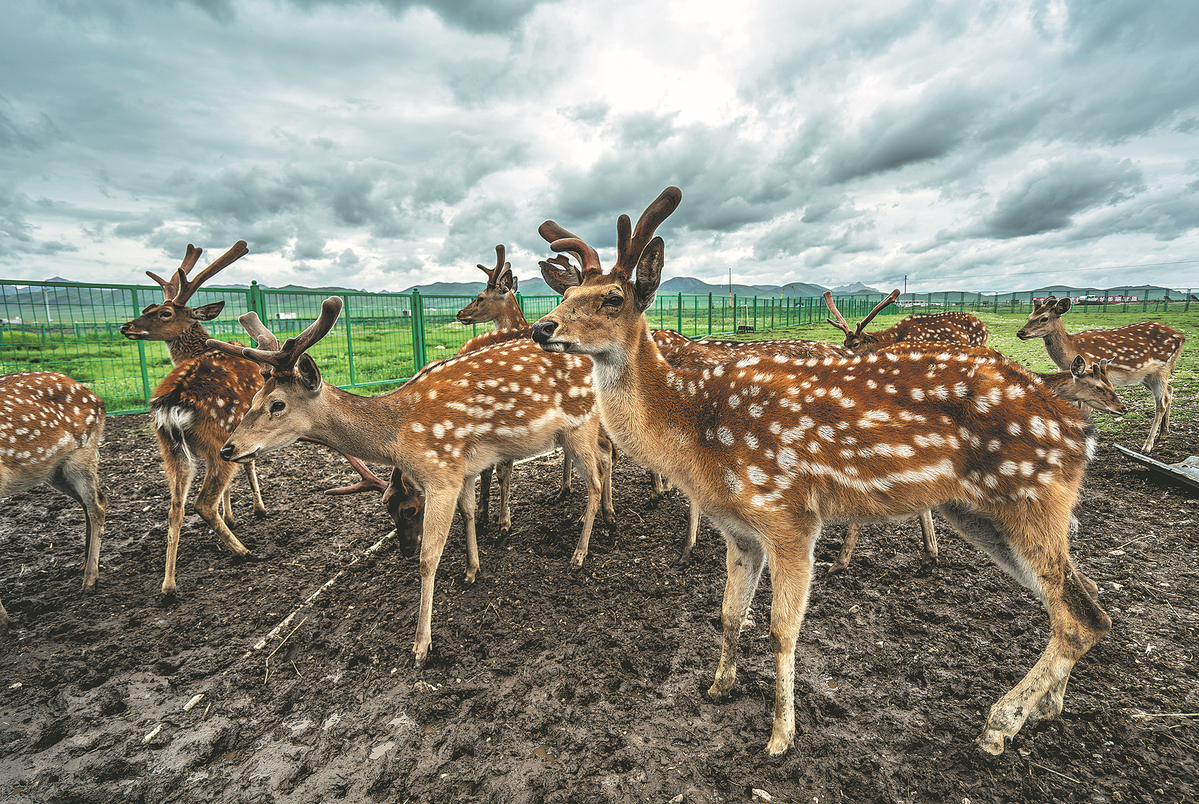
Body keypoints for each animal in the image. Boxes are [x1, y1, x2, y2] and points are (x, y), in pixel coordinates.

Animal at [0, 373, 106, 632]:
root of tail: (97, 398)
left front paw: (5, 621)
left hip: (82, 452)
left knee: (97, 505)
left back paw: (89, 580)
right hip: (53, 471)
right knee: (88, 503)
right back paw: (83, 564)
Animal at [117, 242, 267, 601]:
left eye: (163, 312)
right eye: (151, 307)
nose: (126, 326)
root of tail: (172, 405)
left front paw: (237, 514)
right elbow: (250, 465)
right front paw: (255, 510)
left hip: (170, 448)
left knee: (175, 506)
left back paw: (169, 586)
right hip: (215, 440)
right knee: (201, 503)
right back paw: (243, 551)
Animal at [206, 298, 613, 670]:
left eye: (277, 404)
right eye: (253, 397)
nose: (228, 448)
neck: (399, 436)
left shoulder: (440, 473)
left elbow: (429, 557)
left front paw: (420, 646)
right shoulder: (462, 467)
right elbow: (468, 514)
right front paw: (472, 571)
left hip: (580, 423)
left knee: (595, 478)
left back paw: (579, 554)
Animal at [529, 185, 1107, 757]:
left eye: (612, 298)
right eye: (568, 293)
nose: (542, 326)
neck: (696, 437)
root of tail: (1079, 431)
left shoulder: (789, 515)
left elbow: (781, 630)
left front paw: (780, 736)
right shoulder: (738, 529)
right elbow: (729, 613)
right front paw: (719, 686)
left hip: (1031, 497)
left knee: (1078, 616)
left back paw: (1000, 723)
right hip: (978, 513)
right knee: (1087, 600)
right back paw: (1046, 708)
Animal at [1016, 295, 1184, 452]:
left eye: (1044, 318)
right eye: (1029, 316)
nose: (1020, 332)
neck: (1069, 354)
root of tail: (1182, 337)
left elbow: (1084, 412)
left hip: (1161, 369)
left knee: (1161, 403)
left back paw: (1147, 446)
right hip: (1146, 376)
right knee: (1169, 390)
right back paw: (1163, 434)